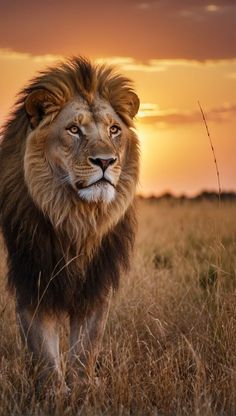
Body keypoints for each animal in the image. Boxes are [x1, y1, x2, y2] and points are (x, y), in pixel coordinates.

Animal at [0, 57, 140, 392]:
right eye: (74, 130)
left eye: (114, 130)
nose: (106, 161)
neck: (77, 219)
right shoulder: (31, 281)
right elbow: (44, 355)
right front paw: (53, 395)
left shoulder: (97, 286)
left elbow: (85, 350)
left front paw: (82, 391)